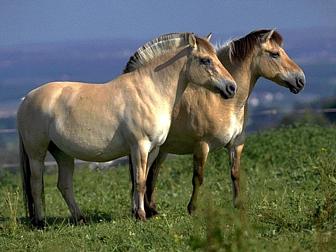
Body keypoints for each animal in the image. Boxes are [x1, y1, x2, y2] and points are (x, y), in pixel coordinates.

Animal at [16, 32, 236, 227]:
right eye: (206, 60)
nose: (231, 87)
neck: (150, 91)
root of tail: (26, 98)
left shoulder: (152, 149)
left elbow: (143, 180)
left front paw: (140, 213)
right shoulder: (140, 146)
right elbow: (139, 181)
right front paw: (141, 215)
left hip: (63, 153)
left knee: (64, 185)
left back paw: (80, 219)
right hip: (37, 153)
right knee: (36, 184)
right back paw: (41, 222)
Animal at [138, 29, 306, 215]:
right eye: (275, 54)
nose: (301, 80)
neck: (223, 102)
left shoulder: (236, 144)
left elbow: (235, 173)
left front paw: (238, 205)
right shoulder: (202, 146)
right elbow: (198, 178)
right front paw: (192, 209)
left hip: (162, 149)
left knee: (153, 172)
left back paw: (152, 209)